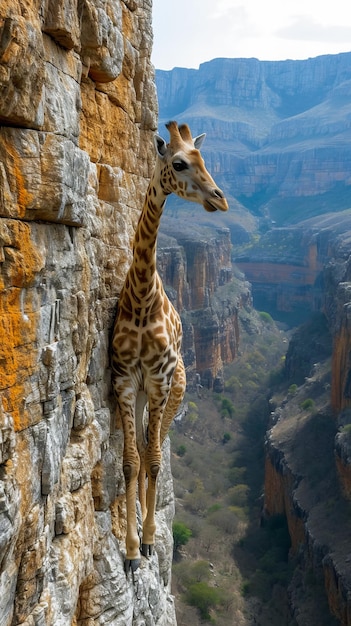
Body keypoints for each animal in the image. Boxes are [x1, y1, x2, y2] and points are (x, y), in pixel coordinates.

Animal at [111, 120, 230, 572]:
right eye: (178, 162)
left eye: (204, 159)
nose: (220, 198)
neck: (142, 298)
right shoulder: (126, 381)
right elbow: (131, 462)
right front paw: (129, 551)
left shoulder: (159, 382)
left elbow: (156, 461)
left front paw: (146, 540)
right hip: (148, 395)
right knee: (145, 449)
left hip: (173, 393)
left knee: (156, 449)